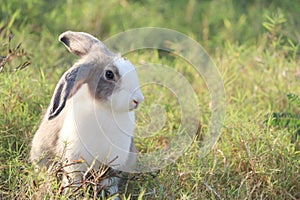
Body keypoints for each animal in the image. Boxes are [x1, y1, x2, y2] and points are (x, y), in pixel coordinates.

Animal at [29, 30, 145, 198]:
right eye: (109, 74)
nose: (138, 100)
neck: (106, 110)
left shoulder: (112, 164)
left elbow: (109, 182)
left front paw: (112, 196)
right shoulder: (74, 161)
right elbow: (74, 180)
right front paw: (71, 195)